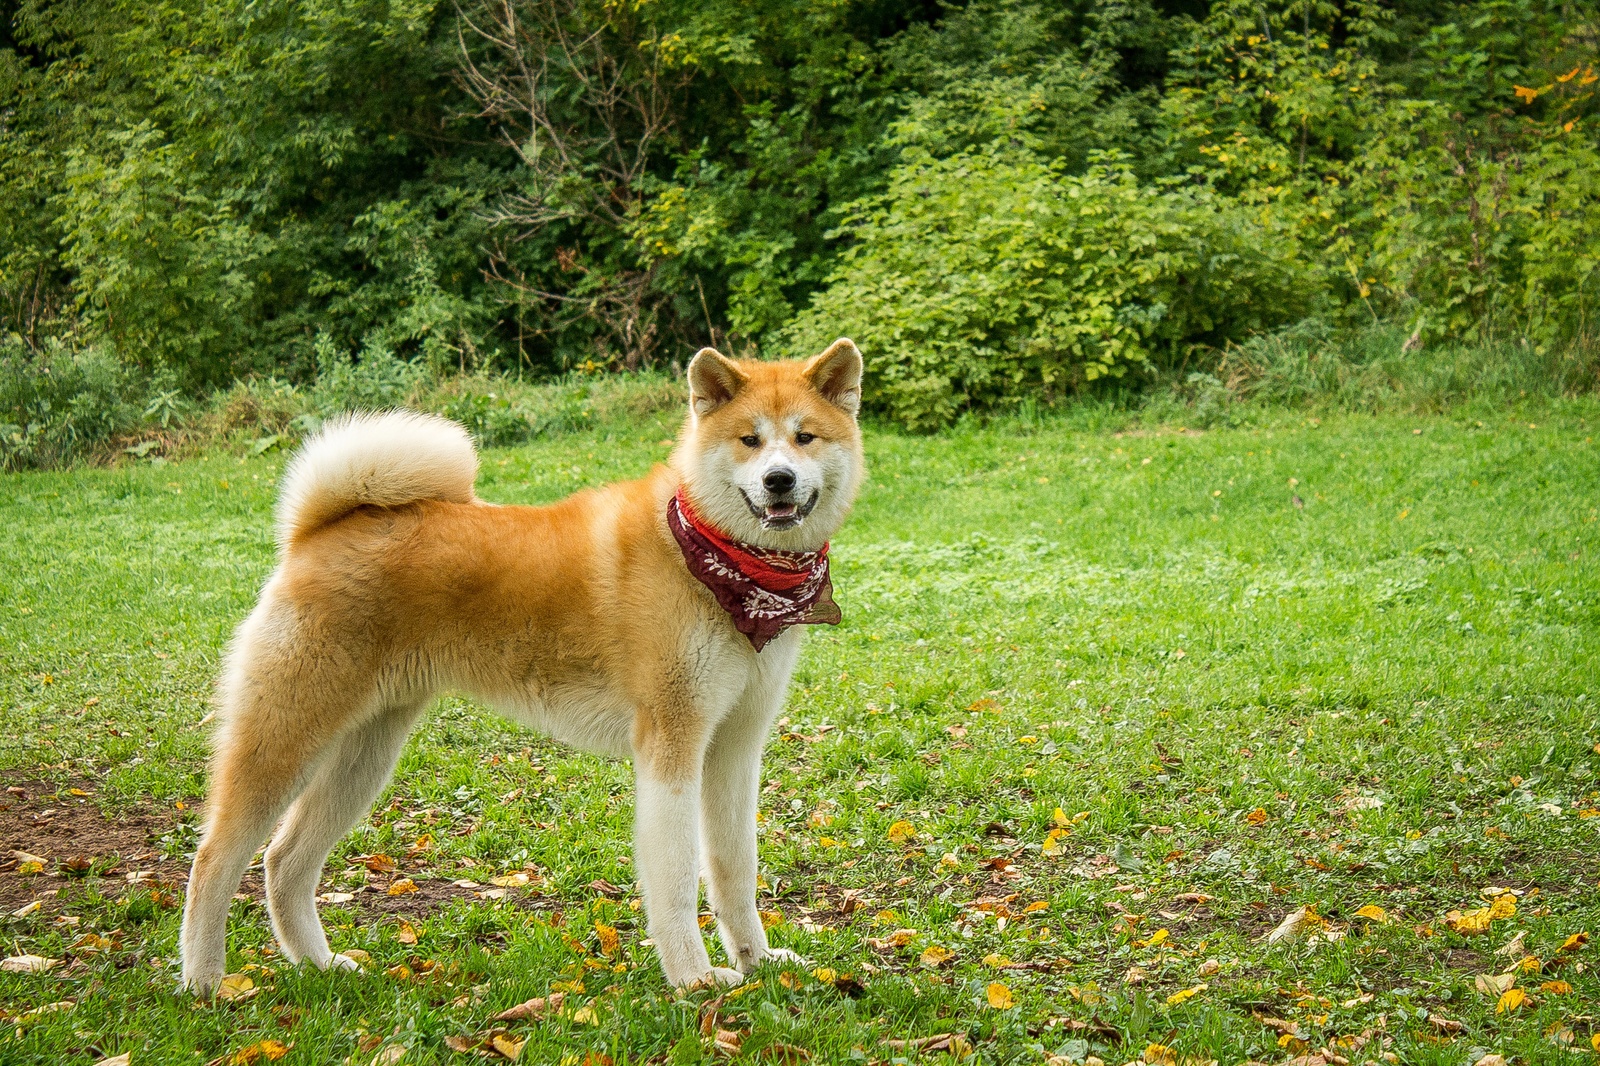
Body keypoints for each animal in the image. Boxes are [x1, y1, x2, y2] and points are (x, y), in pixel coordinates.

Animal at [176, 342, 870, 998]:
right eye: (749, 440)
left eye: (805, 437)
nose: (778, 479)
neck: (715, 561)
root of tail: (316, 533)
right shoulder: (671, 746)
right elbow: (675, 881)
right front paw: (693, 979)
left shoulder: (733, 749)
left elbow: (733, 871)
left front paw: (757, 962)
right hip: (286, 737)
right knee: (214, 860)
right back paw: (205, 983)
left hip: (364, 754)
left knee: (285, 861)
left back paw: (319, 965)